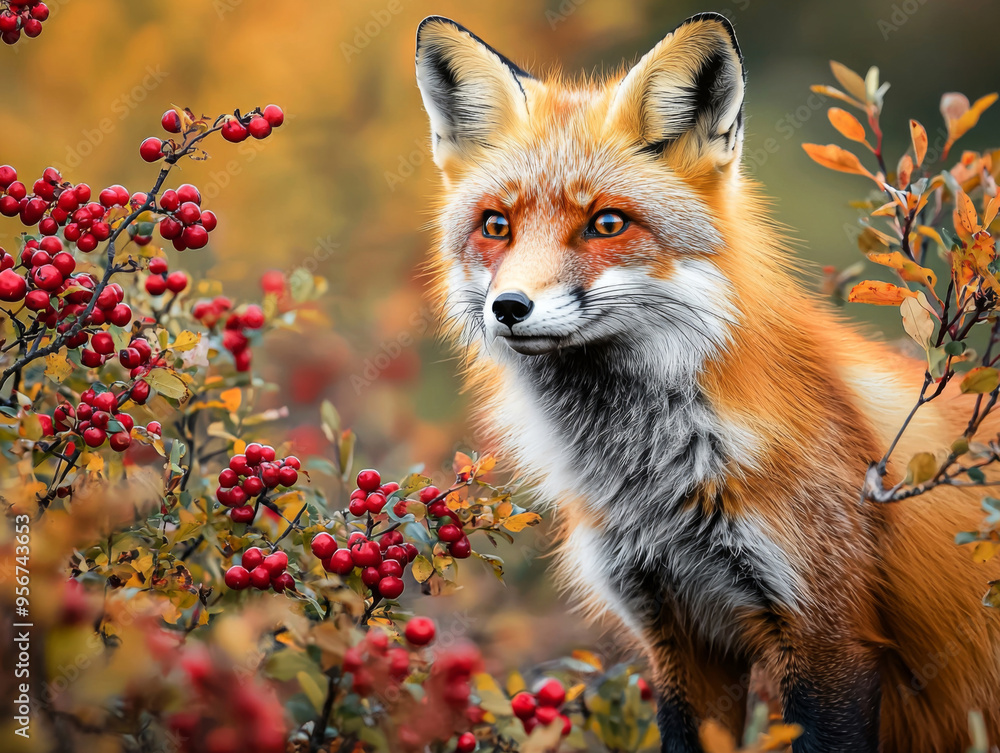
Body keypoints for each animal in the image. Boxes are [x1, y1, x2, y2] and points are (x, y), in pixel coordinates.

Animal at [414, 12, 1000, 753]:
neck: (654, 484)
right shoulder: (680, 636)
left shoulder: (830, 637)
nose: (509, 307)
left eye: (606, 223)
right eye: (496, 225)